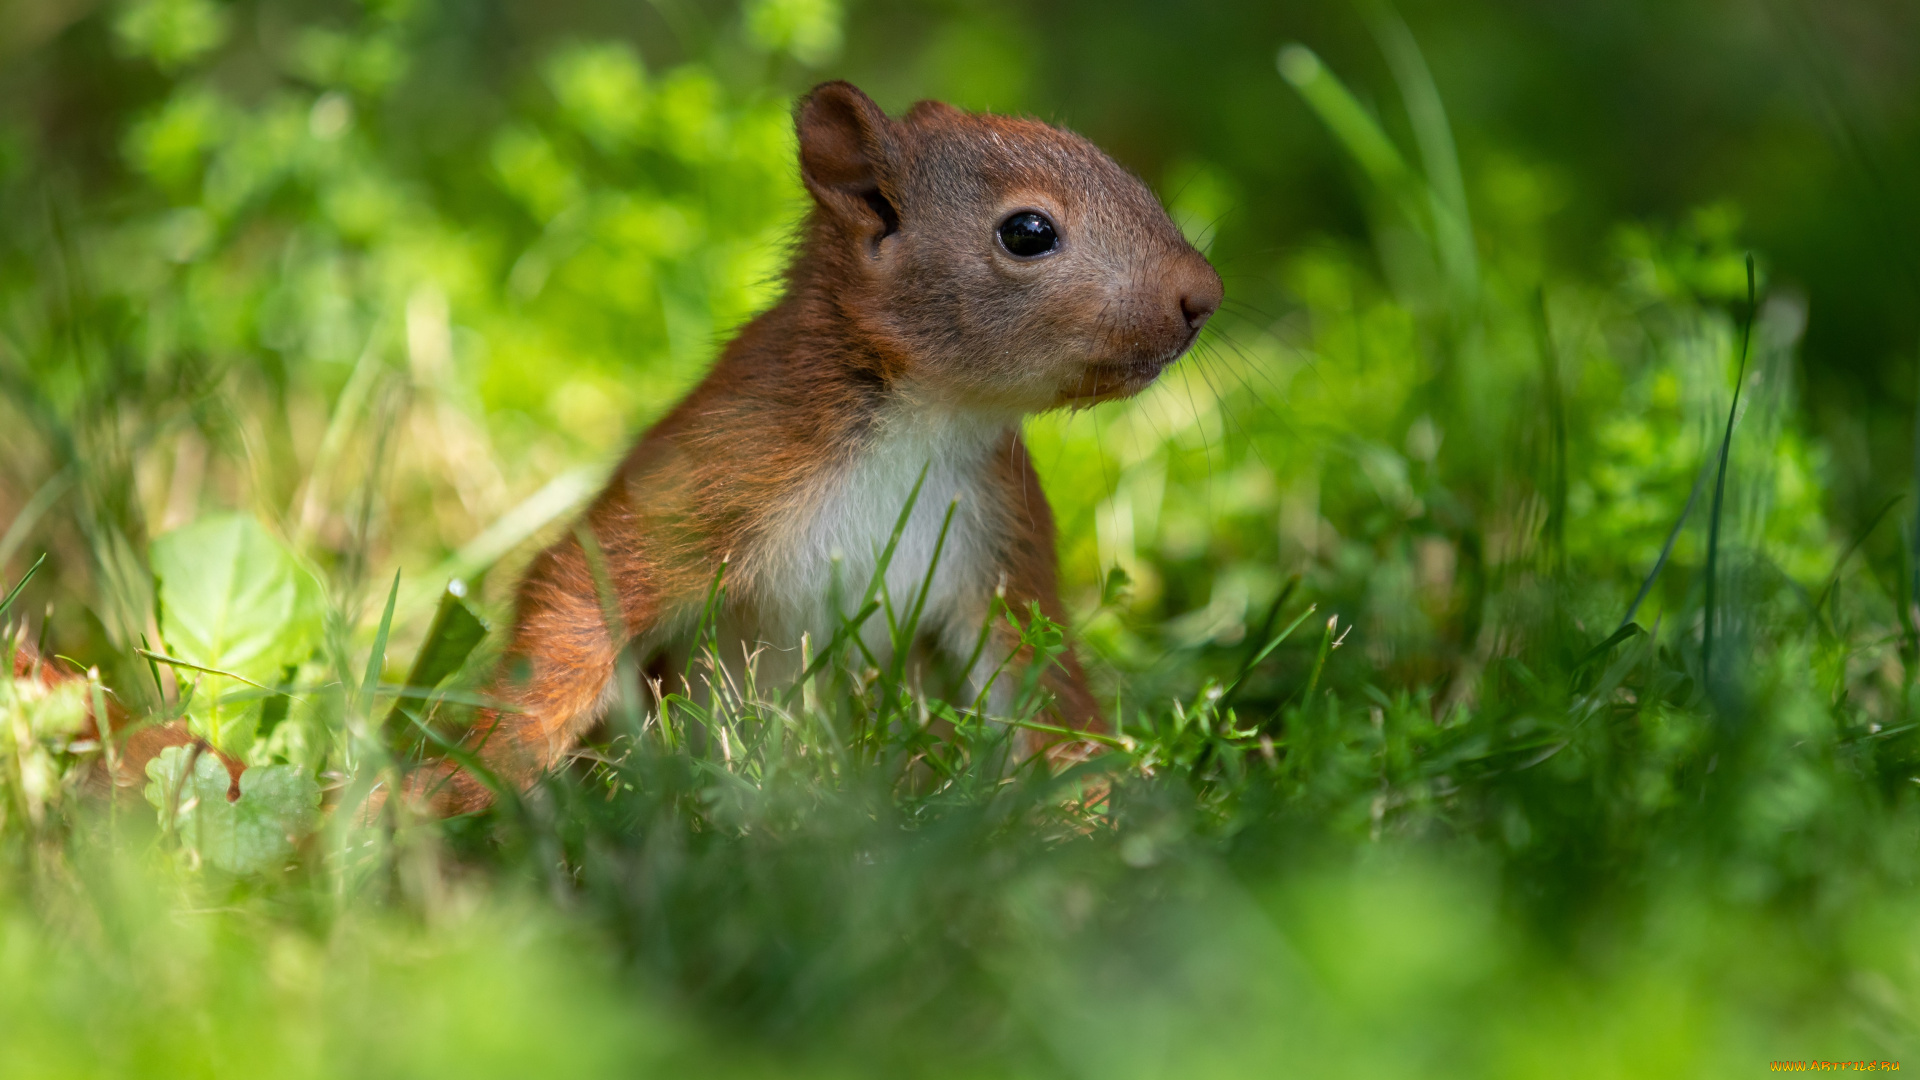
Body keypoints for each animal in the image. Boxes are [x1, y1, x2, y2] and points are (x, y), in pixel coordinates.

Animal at [412, 82, 1221, 807]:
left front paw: (1095, 806)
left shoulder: (1003, 540)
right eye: (1028, 232)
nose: (1205, 295)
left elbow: (1041, 683)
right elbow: (584, 593)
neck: (931, 418)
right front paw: (468, 778)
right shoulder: (722, 466)